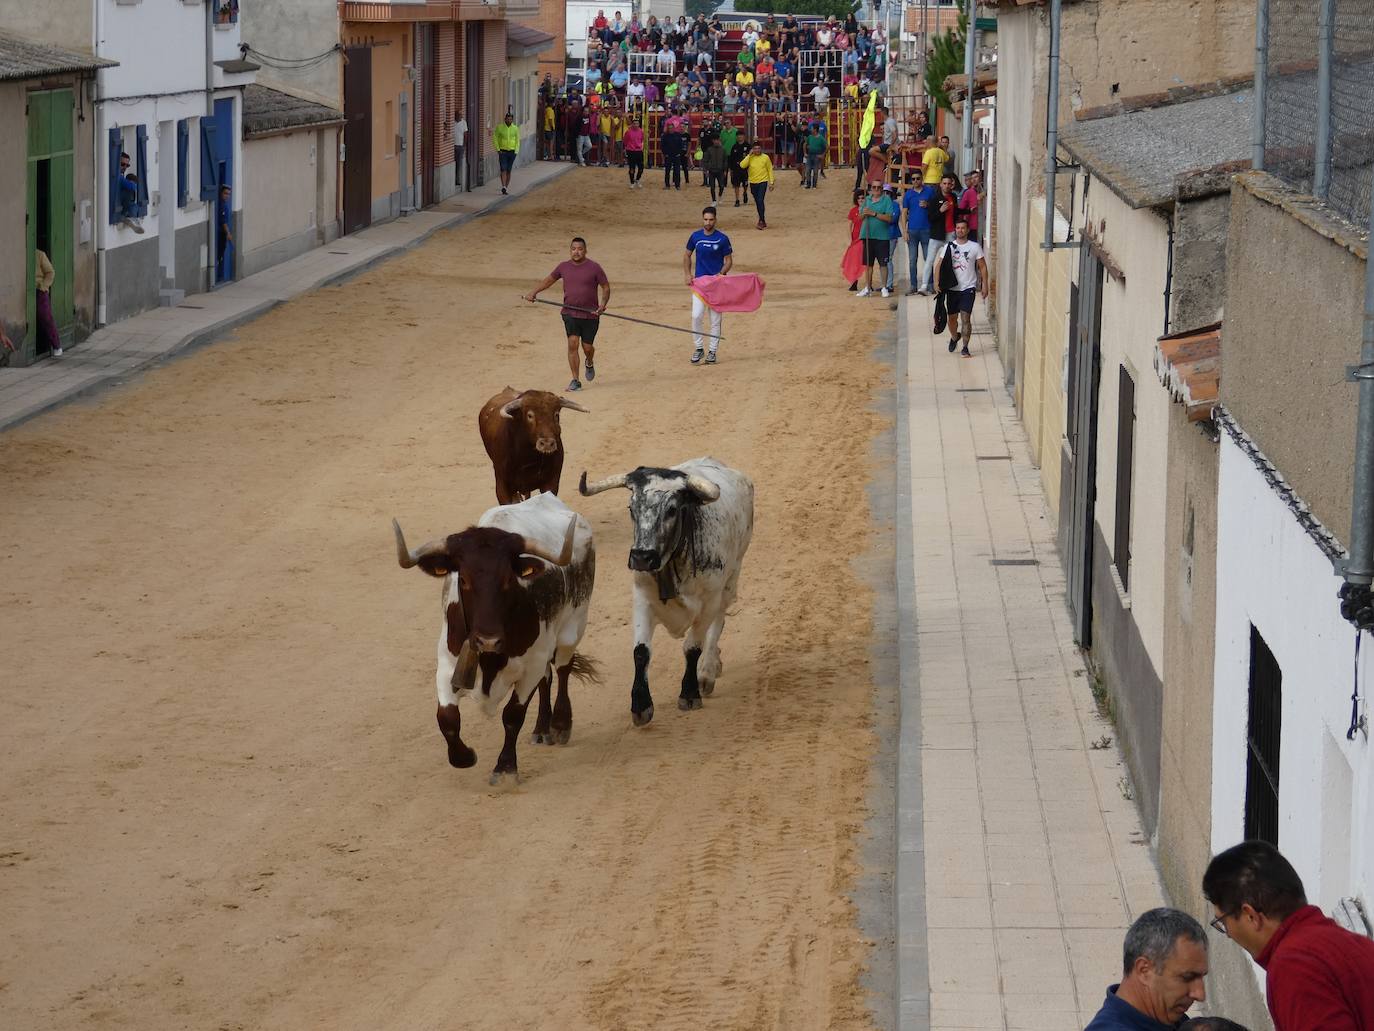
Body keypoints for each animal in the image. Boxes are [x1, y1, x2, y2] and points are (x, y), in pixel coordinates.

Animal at [392, 492, 596, 780]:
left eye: (508, 579)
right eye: (463, 580)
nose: (487, 640)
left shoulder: (530, 667)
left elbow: (512, 715)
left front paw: (506, 767)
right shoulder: (446, 666)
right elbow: (447, 718)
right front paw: (465, 756)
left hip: (573, 626)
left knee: (563, 668)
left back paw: (559, 724)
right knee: (547, 677)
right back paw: (541, 728)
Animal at [577, 456, 758, 731]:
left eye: (672, 510)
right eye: (632, 508)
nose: (642, 557)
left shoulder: (708, 602)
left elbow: (692, 647)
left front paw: (690, 693)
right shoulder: (642, 600)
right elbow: (641, 652)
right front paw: (641, 706)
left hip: (730, 582)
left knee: (718, 624)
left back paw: (708, 671)